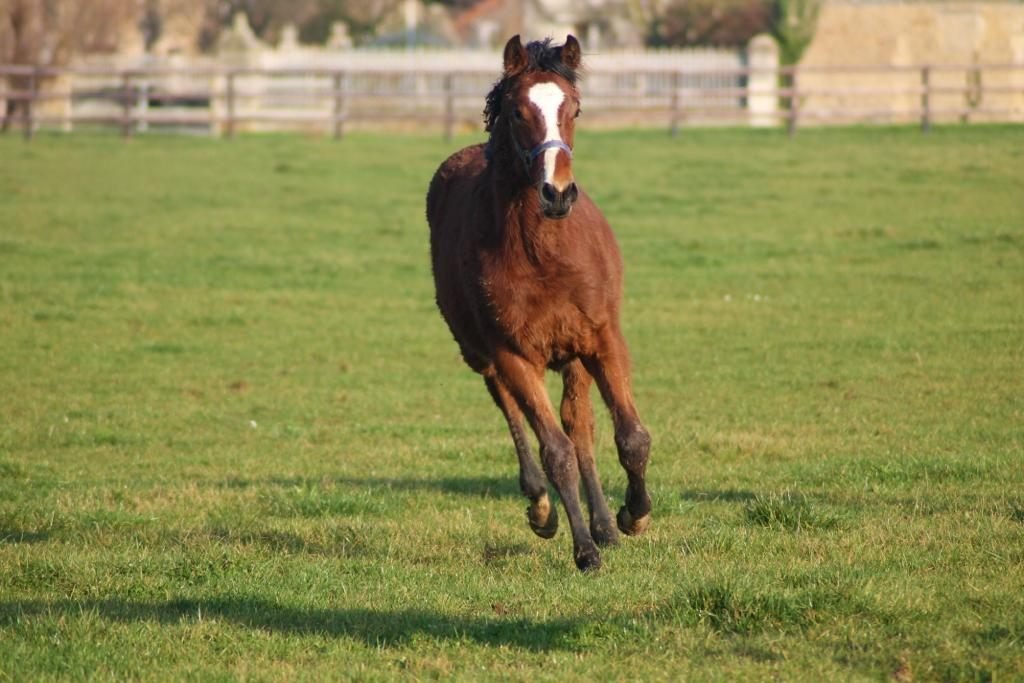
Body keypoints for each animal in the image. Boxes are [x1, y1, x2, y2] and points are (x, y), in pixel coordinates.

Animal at [426, 35, 651, 572]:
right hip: (482, 353)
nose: (557, 192)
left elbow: (630, 437)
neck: (541, 252)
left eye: (575, 108)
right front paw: (585, 550)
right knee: (514, 411)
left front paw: (632, 516)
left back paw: (605, 523)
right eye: (517, 110)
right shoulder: (512, 353)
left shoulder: (601, 338)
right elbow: (556, 452)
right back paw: (542, 507)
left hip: (572, 357)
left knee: (580, 426)